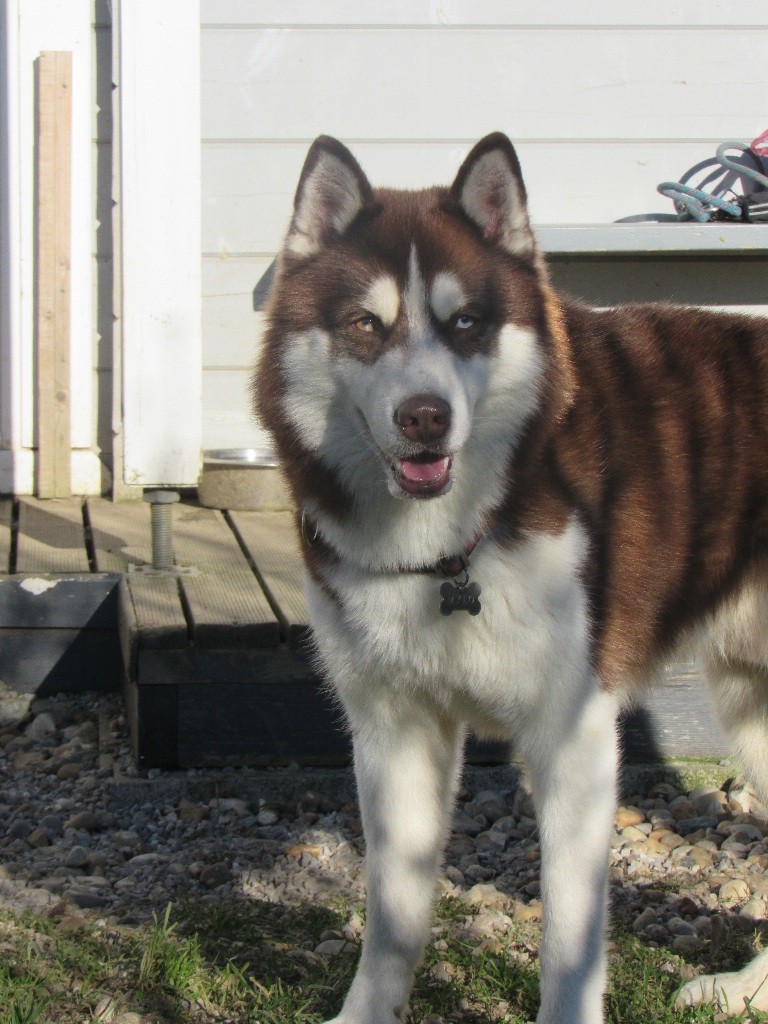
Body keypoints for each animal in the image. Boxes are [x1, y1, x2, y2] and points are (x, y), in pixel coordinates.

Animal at [257, 136, 768, 1024]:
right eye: (365, 324)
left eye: (466, 323)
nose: (425, 417)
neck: (452, 549)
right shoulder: (394, 731)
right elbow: (392, 917)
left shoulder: (575, 737)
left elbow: (569, 942)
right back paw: (747, 989)